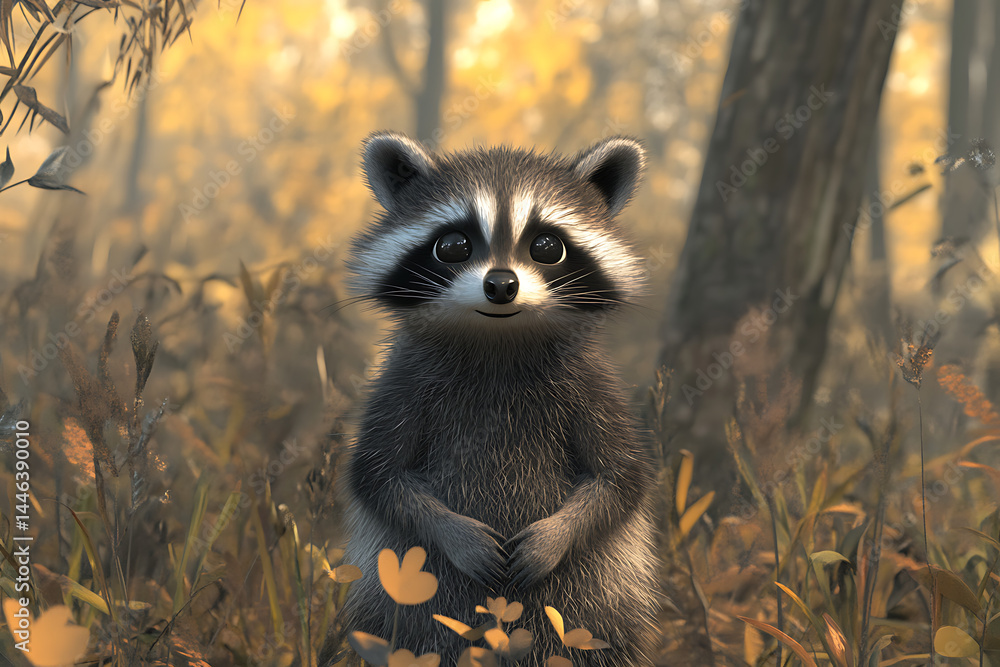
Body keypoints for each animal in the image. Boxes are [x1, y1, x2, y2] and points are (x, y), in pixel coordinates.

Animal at [326, 132, 658, 666]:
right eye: (453, 245)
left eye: (547, 246)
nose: (501, 285)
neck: (497, 341)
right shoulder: (401, 383)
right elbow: (378, 475)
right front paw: (455, 533)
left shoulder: (592, 383)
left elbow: (620, 477)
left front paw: (555, 537)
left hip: (599, 605)